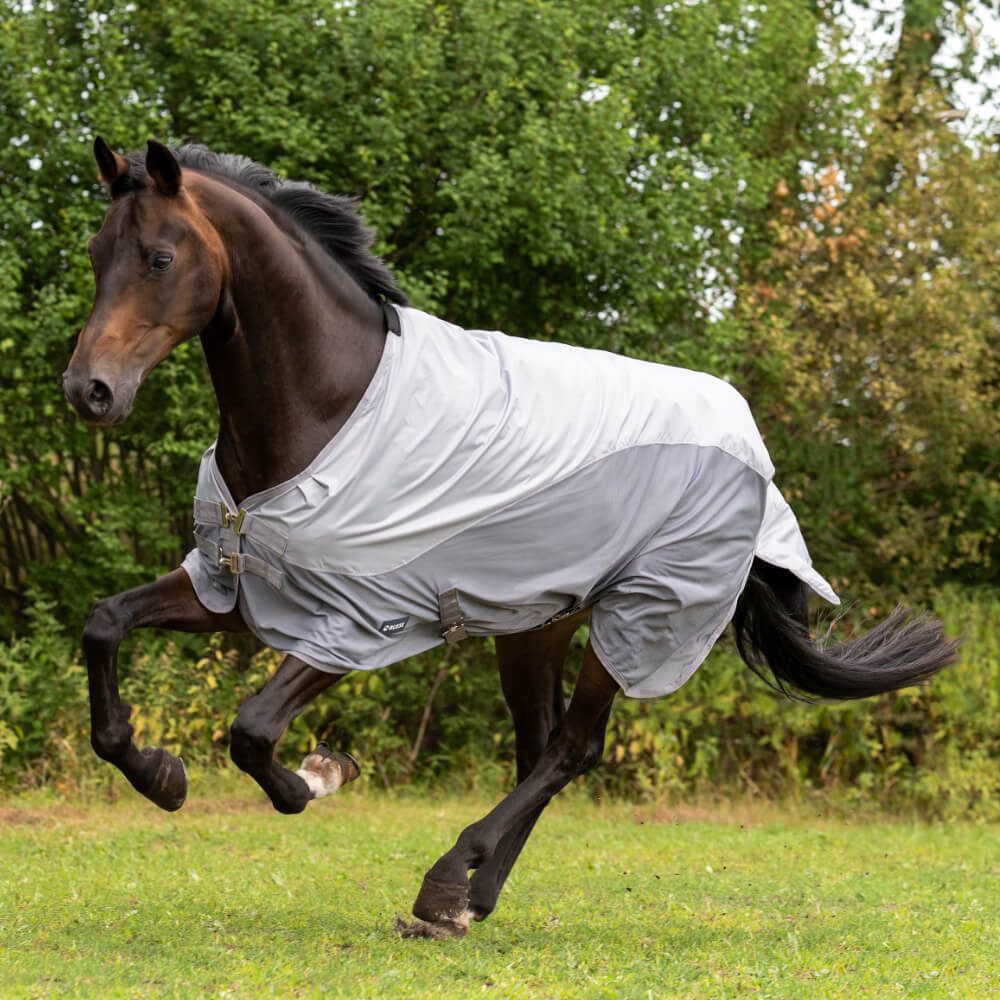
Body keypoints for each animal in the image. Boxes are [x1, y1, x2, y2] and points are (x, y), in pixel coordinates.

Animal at [63, 138, 957, 939]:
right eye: (98, 252)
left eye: (160, 257)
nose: (89, 390)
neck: (332, 403)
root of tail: (749, 444)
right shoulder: (235, 583)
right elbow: (104, 624)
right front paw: (159, 774)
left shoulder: (359, 622)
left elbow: (251, 731)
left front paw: (321, 775)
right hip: (538, 623)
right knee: (541, 749)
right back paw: (469, 900)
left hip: (639, 618)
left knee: (572, 748)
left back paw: (444, 883)